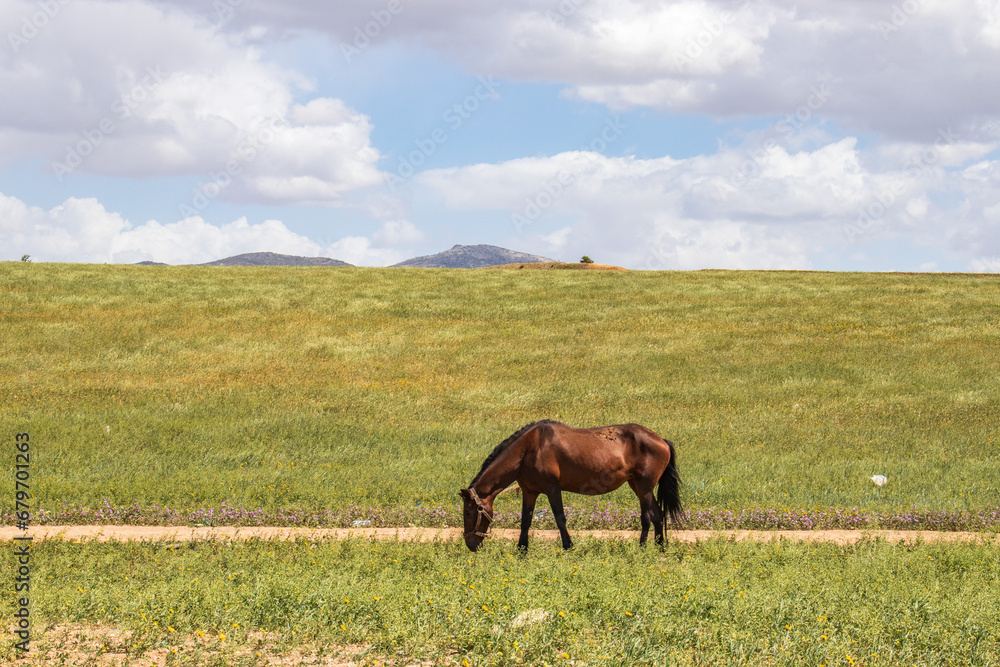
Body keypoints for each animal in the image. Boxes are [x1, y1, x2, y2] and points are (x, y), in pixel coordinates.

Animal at [458, 422, 680, 552]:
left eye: (468, 513)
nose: (471, 545)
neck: (529, 449)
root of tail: (661, 440)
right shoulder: (530, 492)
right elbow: (525, 521)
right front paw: (522, 549)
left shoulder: (552, 489)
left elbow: (560, 518)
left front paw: (568, 546)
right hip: (638, 486)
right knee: (658, 515)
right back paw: (659, 547)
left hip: (644, 487)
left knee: (647, 517)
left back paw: (642, 548)